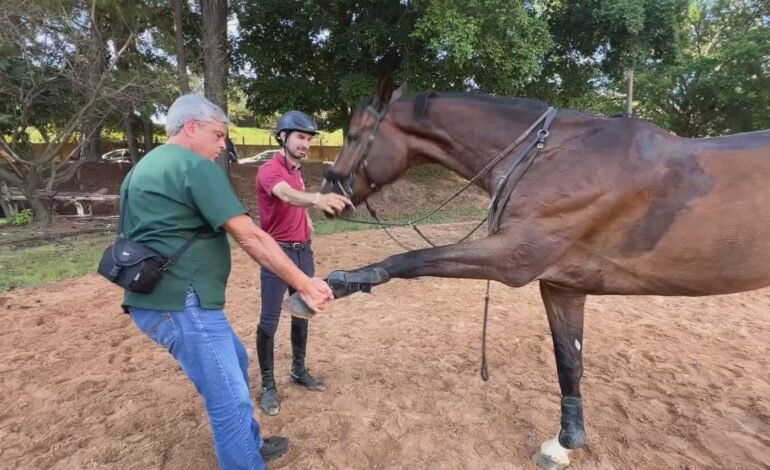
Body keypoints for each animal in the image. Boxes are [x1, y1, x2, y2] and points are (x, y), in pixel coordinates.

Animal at [290, 77, 770, 468]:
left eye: (354, 135)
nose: (328, 194)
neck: (555, 157)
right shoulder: (562, 285)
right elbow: (569, 361)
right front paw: (564, 442)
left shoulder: (514, 259)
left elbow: (407, 261)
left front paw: (333, 285)